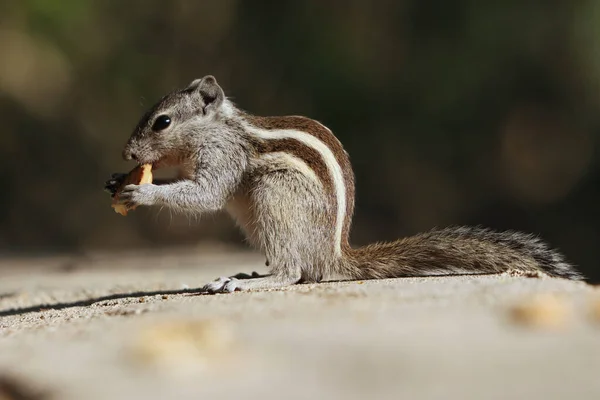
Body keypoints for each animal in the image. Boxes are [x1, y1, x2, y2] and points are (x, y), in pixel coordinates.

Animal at [105, 76, 584, 294]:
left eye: (162, 122)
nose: (127, 154)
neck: (218, 128)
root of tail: (333, 255)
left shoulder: (225, 159)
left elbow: (203, 195)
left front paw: (141, 191)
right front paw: (115, 181)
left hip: (273, 197)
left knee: (292, 273)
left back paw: (245, 282)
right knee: (301, 272)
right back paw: (247, 272)